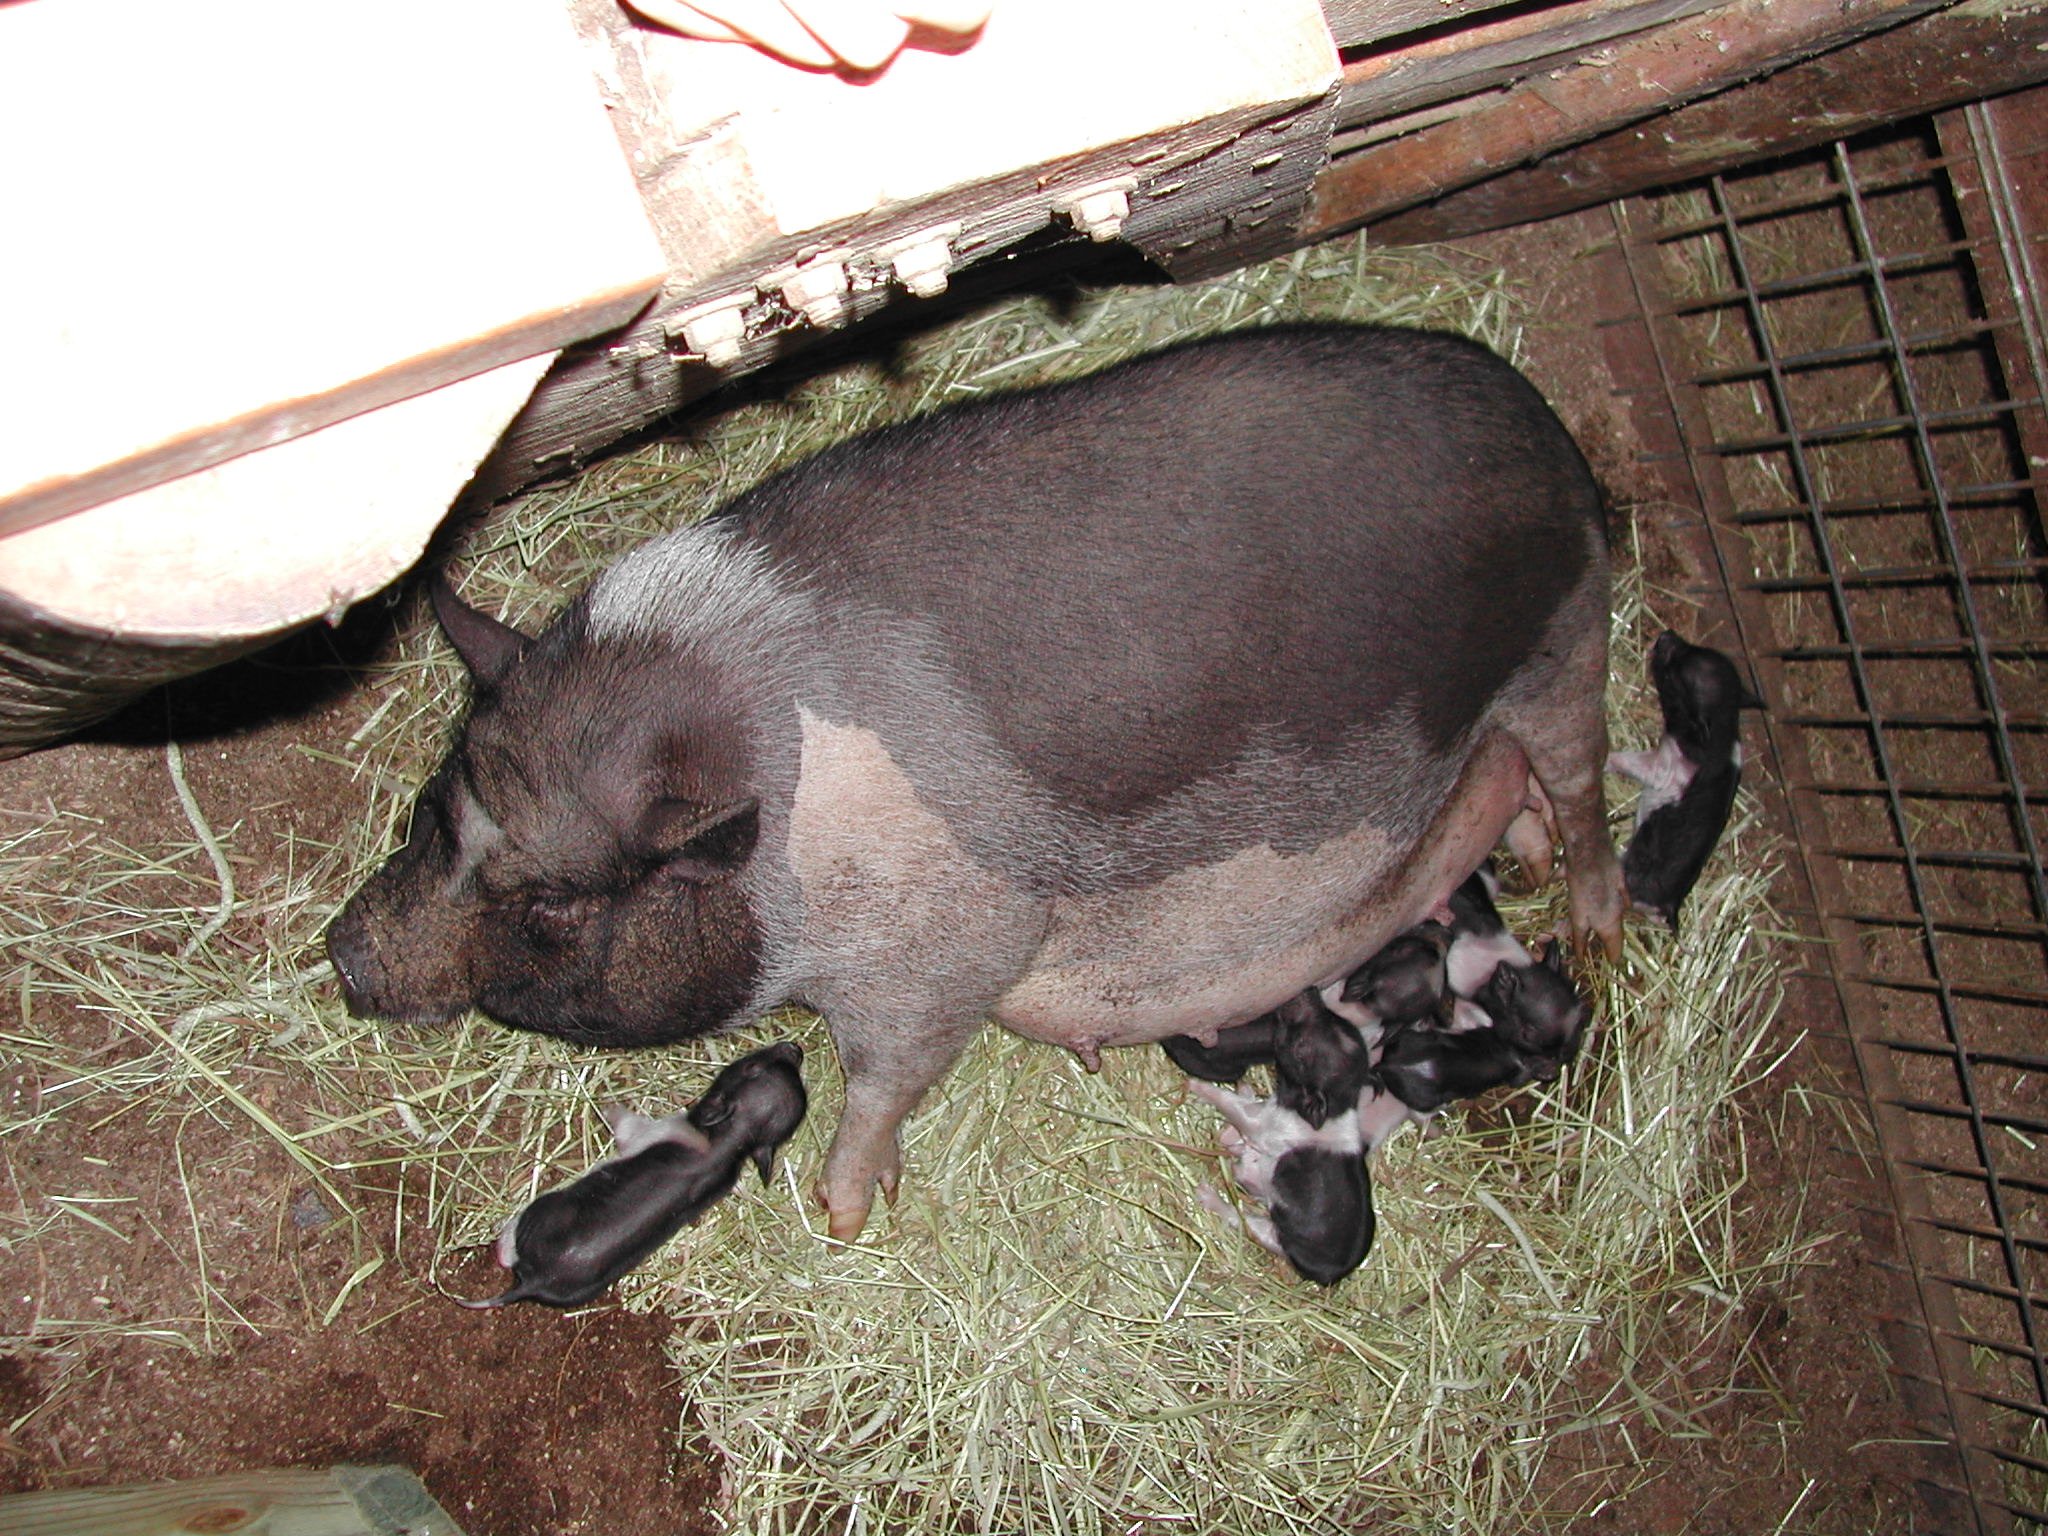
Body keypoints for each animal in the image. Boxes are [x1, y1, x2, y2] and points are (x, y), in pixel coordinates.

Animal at [327, 323, 1623, 1241]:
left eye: (554, 906)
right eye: (436, 807)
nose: (346, 956)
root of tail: (1538, 421)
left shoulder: (955, 947)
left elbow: (883, 1083)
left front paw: (844, 1219)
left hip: (1564, 646)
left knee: (1583, 782)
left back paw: (1597, 930)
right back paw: (1522, 861)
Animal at [460, 1042, 806, 1308]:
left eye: (752, 1068)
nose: (795, 1048)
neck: (730, 1142)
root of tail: (534, 1280)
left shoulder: (649, 1131)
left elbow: (625, 1125)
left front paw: (607, 1105)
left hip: (540, 1212)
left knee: (507, 1248)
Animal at [1609, 630, 1762, 931]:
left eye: (1672, 677)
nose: (1666, 634)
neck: (1722, 728)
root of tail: (1668, 906)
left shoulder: (1664, 767)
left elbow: (1633, 762)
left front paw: (1606, 756)